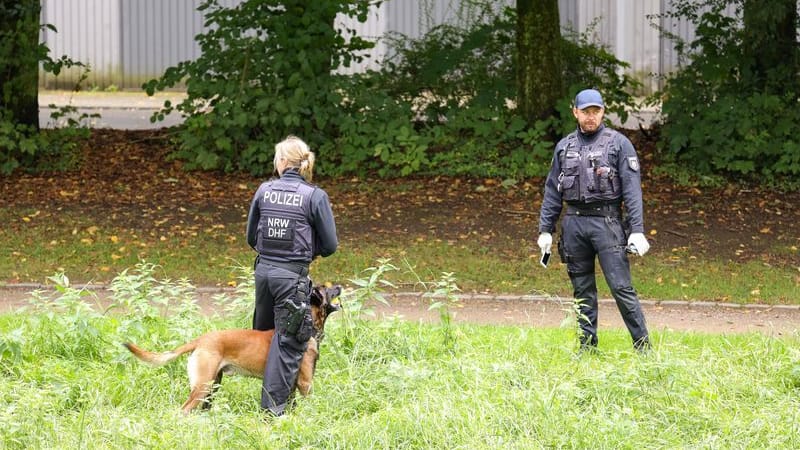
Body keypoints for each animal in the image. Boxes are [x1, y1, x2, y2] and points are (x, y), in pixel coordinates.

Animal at [123, 284, 342, 414]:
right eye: (328, 289)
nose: (340, 286)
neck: (309, 324)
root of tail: (201, 340)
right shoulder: (305, 383)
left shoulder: (291, 386)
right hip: (203, 386)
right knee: (183, 409)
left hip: (213, 384)